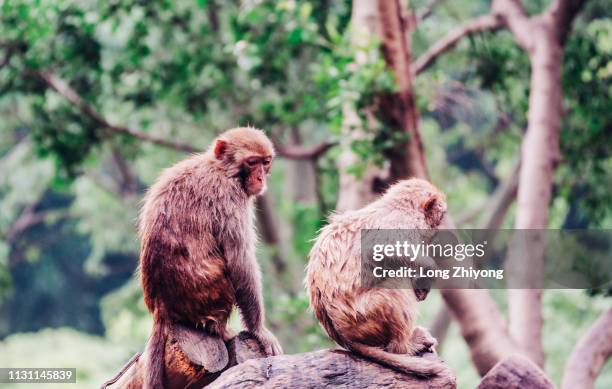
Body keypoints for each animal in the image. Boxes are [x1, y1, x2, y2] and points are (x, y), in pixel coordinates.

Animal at [139, 126, 282, 386]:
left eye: (265, 162)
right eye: (251, 162)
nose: (260, 178)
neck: (222, 169)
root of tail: (160, 305)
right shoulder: (230, 199)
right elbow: (240, 262)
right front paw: (259, 330)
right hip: (208, 297)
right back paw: (221, 331)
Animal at [304, 178, 444, 376]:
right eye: (440, 215)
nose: (439, 228)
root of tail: (343, 337)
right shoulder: (402, 223)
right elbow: (381, 249)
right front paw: (427, 272)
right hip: (364, 315)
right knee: (397, 280)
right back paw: (404, 346)